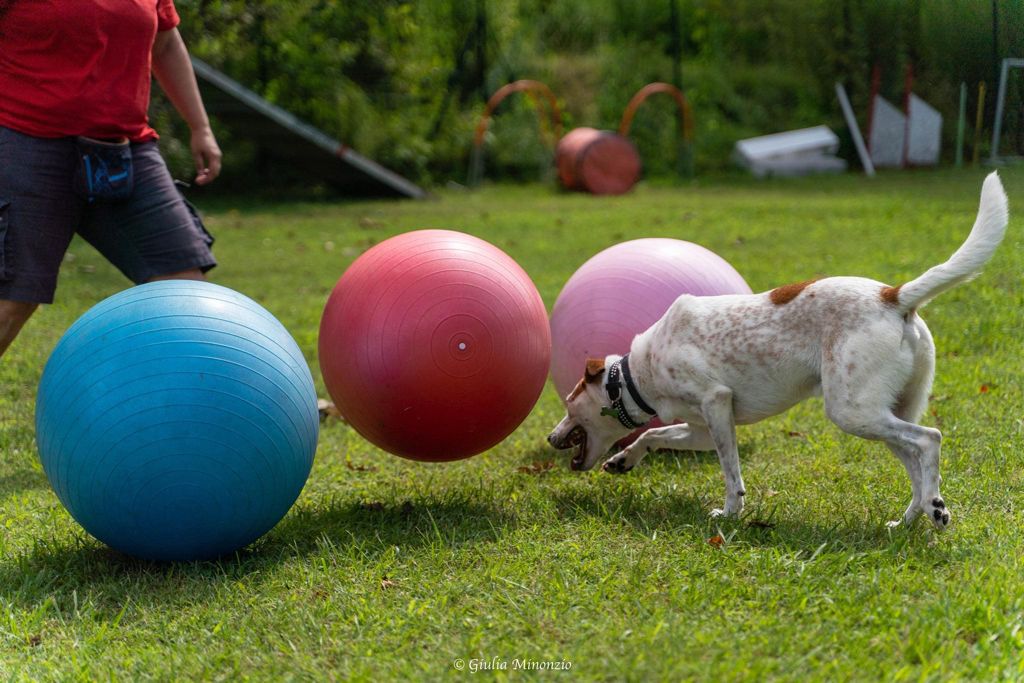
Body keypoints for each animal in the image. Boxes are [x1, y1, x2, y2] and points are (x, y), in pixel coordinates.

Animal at [548, 172, 1011, 528]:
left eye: (569, 404)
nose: (552, 437)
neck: (638, 375)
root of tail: (893, 296)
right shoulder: (700, 428)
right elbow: (656, 434)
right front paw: (624, 459)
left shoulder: (716, 405)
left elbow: (730, 472)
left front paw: (730, 513)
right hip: (885, 412)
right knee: (916, 464)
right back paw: (914, 518)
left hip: (851, 411)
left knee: (930, 439)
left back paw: (936, 511)